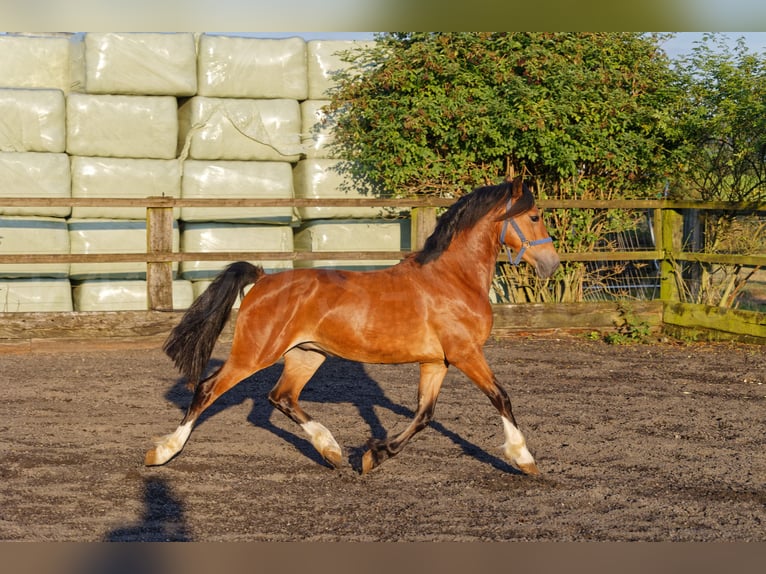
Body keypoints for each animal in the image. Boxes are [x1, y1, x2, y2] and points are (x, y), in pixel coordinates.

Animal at [147, 178, 560, 474]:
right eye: (535, 217)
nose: (552, 264)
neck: (453, 278)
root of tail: (263, 279)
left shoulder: (436, 362)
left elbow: (424, 415)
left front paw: (373, 456)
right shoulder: (465, 353)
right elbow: (500, 397)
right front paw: (524, 459)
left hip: (306, 355)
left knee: (282, 397)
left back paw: (331, 451)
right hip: (255, 353)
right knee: (208, 389)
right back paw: (162, 452)